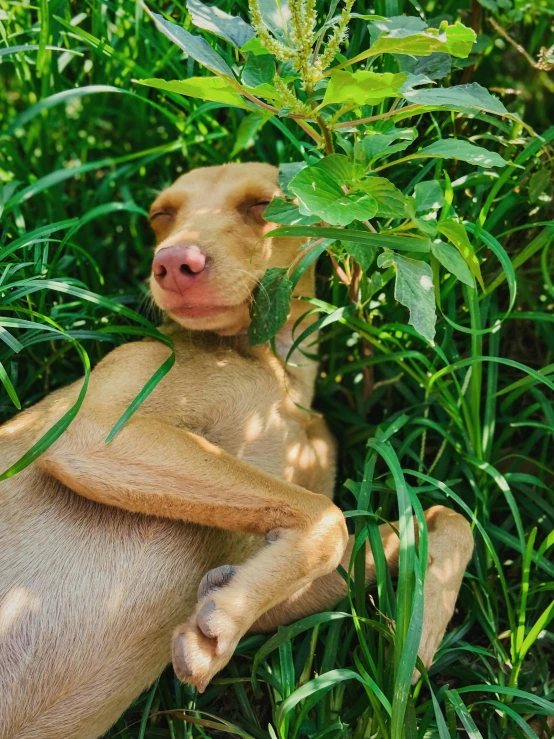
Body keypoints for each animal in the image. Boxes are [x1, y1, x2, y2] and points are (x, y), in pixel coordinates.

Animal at [0, 165, 470, 736]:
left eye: (262, 205)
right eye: (162, 215)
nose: (173, 264)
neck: (281, 378)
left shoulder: (278, 600)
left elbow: (450, 521)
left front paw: (417, 646)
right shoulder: (91, 427)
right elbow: (328, 519)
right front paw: (221, 624)